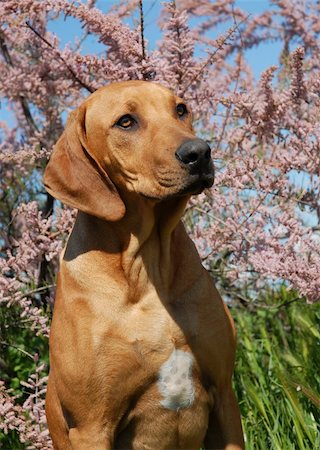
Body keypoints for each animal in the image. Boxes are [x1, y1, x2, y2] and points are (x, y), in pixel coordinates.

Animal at [43, 81, 244, 450]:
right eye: (126, 121)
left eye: (181, 109)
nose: (199, 152)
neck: (148, 270)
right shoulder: (91, 426)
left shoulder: (224, 395)